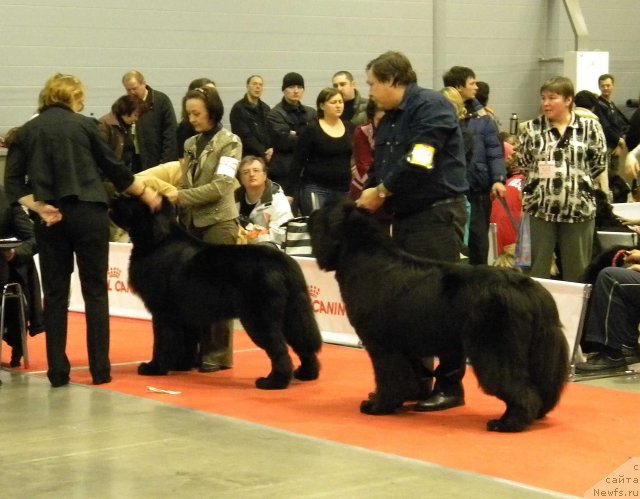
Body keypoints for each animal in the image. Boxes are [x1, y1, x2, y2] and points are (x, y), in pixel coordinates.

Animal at [109, 196, 324, 390]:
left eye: (131, 199)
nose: (113, 198)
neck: (158, 241)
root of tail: (282, 262)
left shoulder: (163, 312)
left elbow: (162, 342)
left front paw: (155, 368)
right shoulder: (185, 313)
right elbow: (187, 342)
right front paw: (181, 366)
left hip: (259, 318)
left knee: (279, 349)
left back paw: (273, 382)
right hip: (293, 314)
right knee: (303, 344)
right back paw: (306, 374)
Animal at [308, 200, 568, 434]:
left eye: (321, 214)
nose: (309, 215)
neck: (363, 255)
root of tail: (528, 287)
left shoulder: (383, 345)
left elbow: (388, 377)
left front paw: (377, 405)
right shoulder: (405, 346)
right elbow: (409, 376)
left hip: (496, 350)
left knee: (520, 389)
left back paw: (507, 423)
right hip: (536, 351)